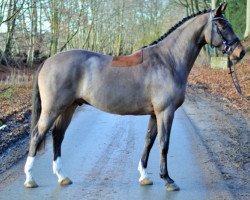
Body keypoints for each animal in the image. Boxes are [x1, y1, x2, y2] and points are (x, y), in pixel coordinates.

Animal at [24, 3, 244, 191]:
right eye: (222, 25)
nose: (241, 52)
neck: (168, 61)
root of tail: (47, 61)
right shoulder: (166, 112)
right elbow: (164, 144)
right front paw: (168, 179)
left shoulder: (155, 114)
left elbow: (149, 141)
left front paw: (145, 176)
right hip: (53, 108)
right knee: (37, 136)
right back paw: (30, 179)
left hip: (69, 107)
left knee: (57, 136)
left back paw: (62, 177)